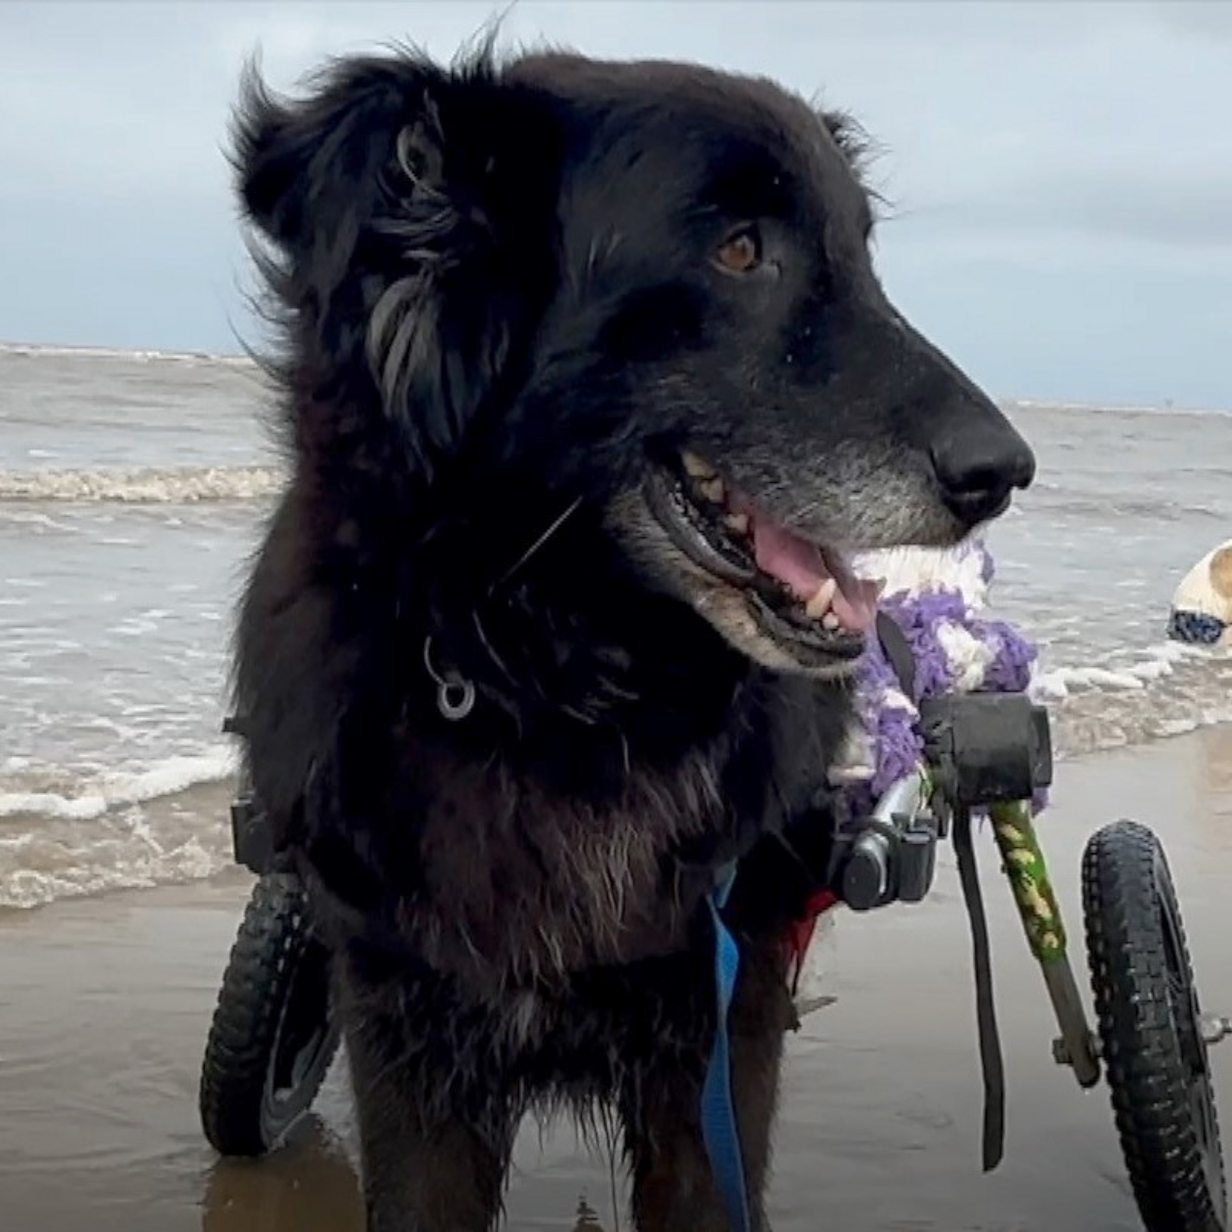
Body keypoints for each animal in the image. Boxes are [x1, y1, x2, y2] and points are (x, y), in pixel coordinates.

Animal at [229, 40, 1029, 1232]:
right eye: (739, 251)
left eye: (859, 254)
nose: (1005, 473)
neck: (554, 687)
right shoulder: (405, 1033)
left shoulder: (716, 1035)